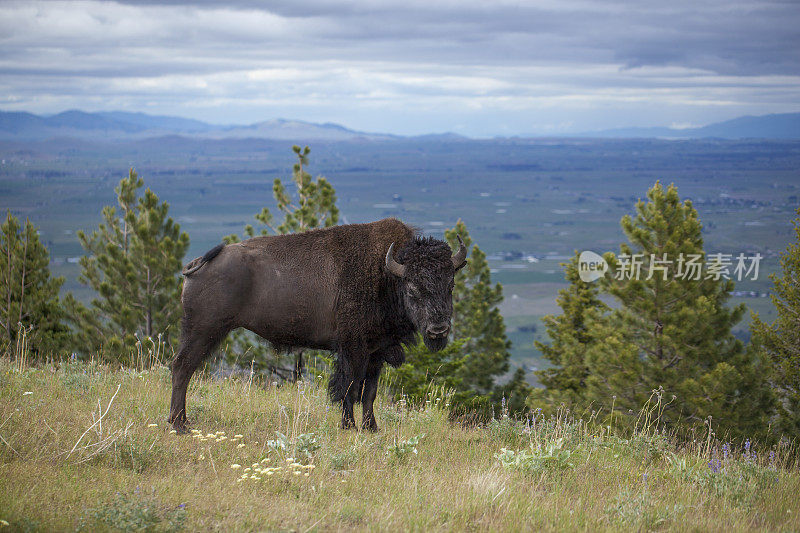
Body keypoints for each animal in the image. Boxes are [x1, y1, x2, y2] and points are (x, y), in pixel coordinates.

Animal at [170, 218, 468, 430]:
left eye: (450, 285)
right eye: (412, 289)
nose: (438, 329)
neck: (386, 275)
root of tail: (199, 263)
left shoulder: (376, 352)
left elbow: (369, 392)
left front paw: (371, 428)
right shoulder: (353, 349)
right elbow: (349, 388)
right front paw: (348, 426)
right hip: (204, 331)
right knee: (182, 368)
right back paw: (179, 424)